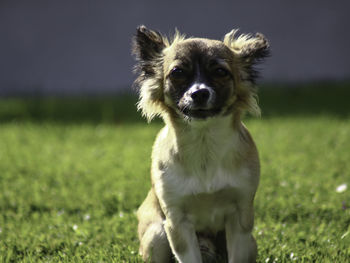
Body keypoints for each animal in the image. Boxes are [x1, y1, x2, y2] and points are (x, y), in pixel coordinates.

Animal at [133, 25, 270, 263]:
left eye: (220, 72)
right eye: (177, 73)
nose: (199, 93)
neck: (204, 144)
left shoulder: (241, 219)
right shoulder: (177, 223)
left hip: (251, 243)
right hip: (157, 236)